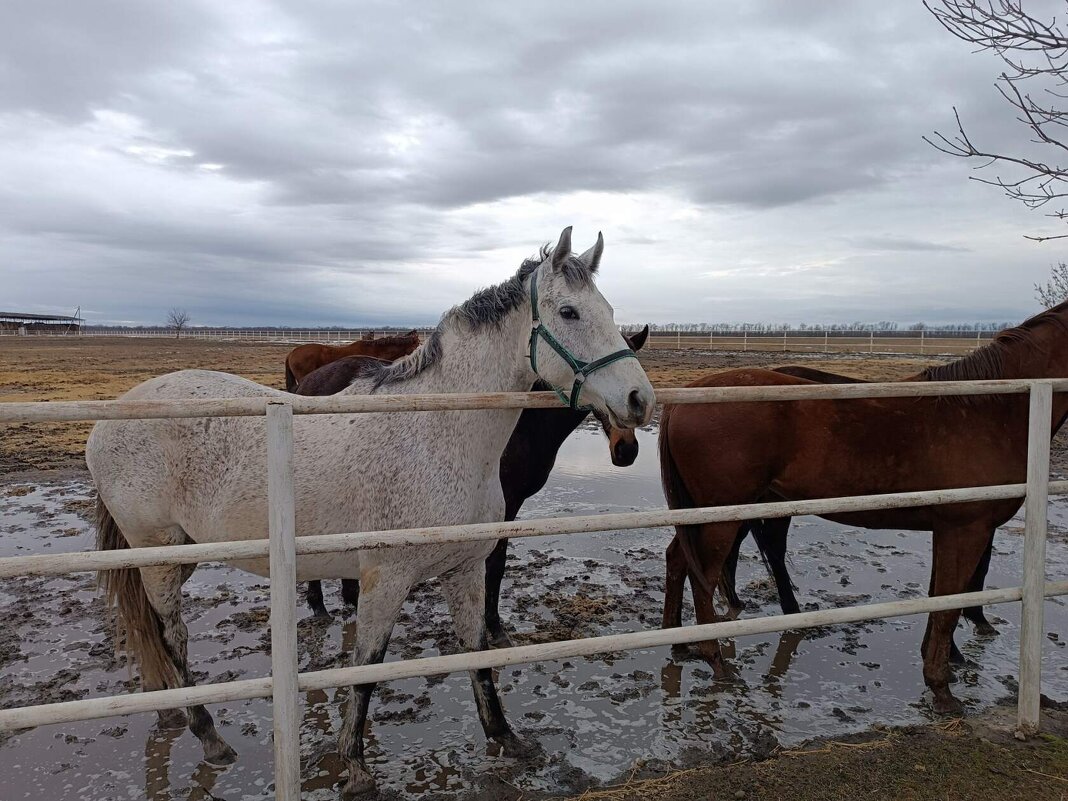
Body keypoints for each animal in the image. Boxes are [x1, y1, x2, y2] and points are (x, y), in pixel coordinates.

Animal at [299, 324, 649, 645]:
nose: (627, 450)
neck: (523, 422)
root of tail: (308, 381)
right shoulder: (504, 505)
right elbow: (495, 565)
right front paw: (495, 626)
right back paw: (319, 606)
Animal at [657, 303, 1068, 713]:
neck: (990, 408)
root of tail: (684, 397)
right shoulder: (967, 529)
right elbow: (950, 604)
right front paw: (941, 688)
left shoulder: (949, 530)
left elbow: (940, 596)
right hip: (722, 516)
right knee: (705, 576)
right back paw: (715, 659)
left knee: (680, 560)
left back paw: (678, 644)